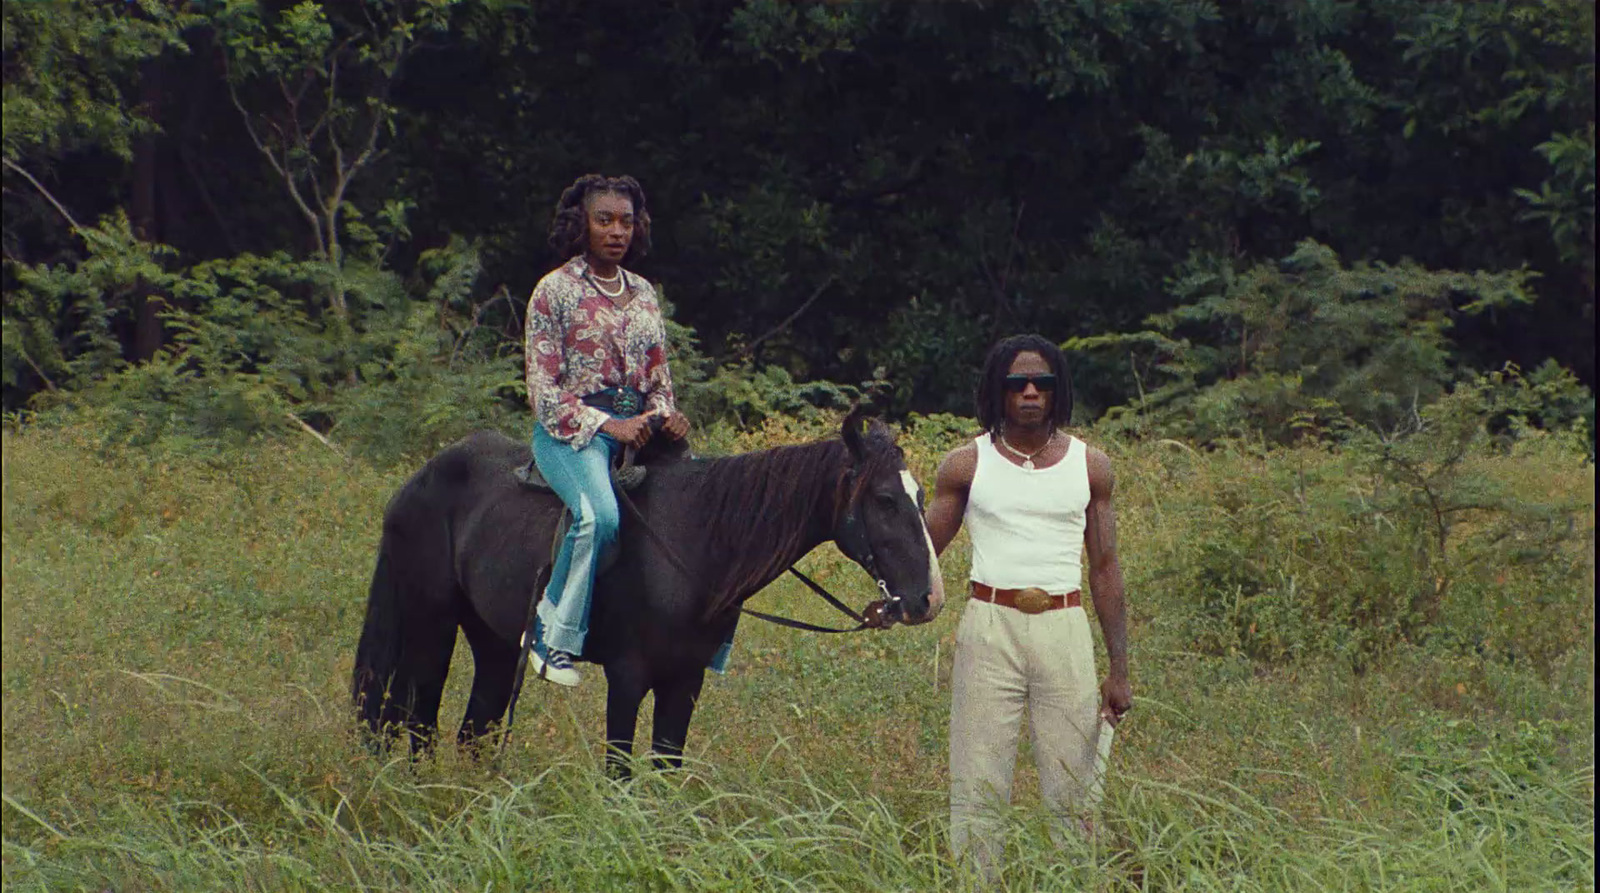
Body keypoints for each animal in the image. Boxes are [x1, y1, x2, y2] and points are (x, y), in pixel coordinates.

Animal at [352, 412, 940, 771]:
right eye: (885, 499)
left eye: (919, 495)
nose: (928, 599)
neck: (692, 542)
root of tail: (416, 482)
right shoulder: (627, 675)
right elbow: (620, 774)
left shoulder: (684, 682)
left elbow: (664, 771)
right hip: (430, 626)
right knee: (418, 721)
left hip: (494, 643)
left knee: (471, 732)